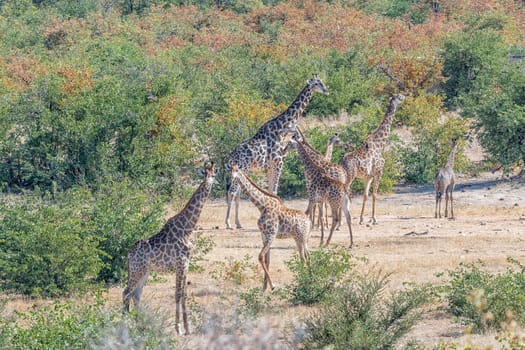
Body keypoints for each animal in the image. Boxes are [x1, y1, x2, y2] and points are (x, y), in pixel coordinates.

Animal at [123, 163, 217, 334]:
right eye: (206, 175)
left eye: (213, 175)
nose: (208, 184)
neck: (187, 228)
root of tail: (128, 254)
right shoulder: (180, 263)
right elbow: (178, 293)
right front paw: (179, 328)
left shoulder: (186, 263)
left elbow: (184, 293)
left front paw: (187, 328)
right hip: (137, 270)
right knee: (126, 292)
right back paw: (125, 325)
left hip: (144, 271)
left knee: (136, 295)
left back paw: (140, 326)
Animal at [224, 74, 328, 230]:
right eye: (316, 83)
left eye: (322, 81)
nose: (326, 90)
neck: (281, 126)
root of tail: (231, 156)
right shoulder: (279, 161)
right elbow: (274, 190)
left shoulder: (271, 165)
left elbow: (270, 190)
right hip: (243, 168)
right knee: (232, 192)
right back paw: (229, 223)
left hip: (241, 171)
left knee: (236, 193)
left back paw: (238, 223)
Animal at [228, 163, 310, 292]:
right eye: (229, 173)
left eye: (236, 175)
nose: (230, 189)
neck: (262, 206)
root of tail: (308, 219)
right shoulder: (264, 235)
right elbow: (266, 260)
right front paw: (264, 288)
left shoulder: (271, 234)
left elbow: (260, 256)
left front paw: (272, 286)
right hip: (298, 239)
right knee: (306, 256)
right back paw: (309, 280)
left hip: (302, 237)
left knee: (304, 257)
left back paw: (306, 282)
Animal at [340, 93, 406, 224]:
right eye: (399, 96)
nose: (406, 96)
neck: (380, 144)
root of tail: (341, 161)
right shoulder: (379, 171)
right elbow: (375, 194)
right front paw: (374, 219)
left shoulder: (368, 176)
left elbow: (365, 195)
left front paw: (361, 219)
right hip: (350, 177)